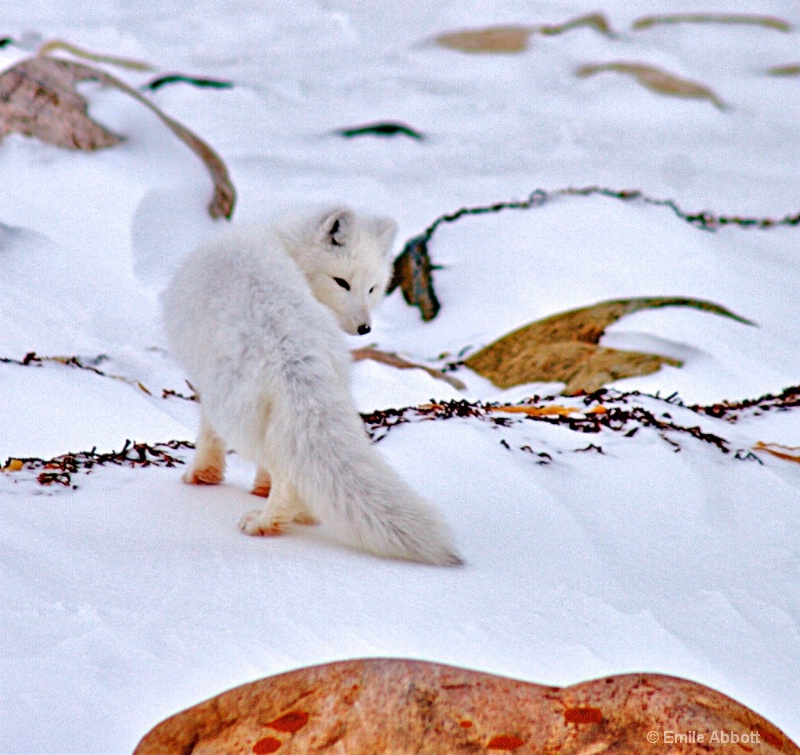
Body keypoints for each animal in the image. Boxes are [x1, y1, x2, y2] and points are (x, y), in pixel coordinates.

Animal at [161, 207, 462, 568]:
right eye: (342, 282)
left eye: (371, 288)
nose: (365, 328)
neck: (281, 240)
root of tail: (289, 348)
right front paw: (259, 488)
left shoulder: (207, 383)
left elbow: (208, 435)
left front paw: (202, 476)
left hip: (235, 409)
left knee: (287, 474)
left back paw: (266, 522)